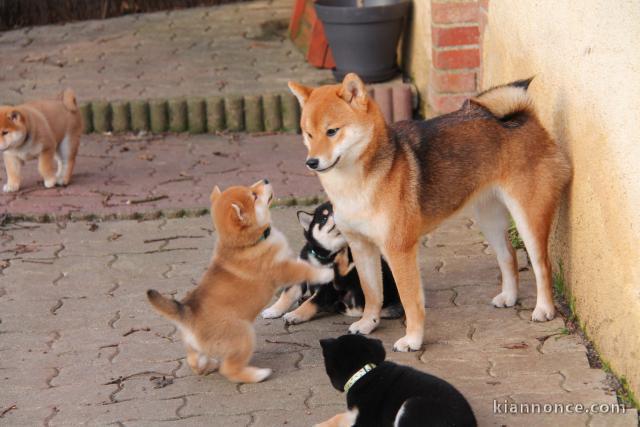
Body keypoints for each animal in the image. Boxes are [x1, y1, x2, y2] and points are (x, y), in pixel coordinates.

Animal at [147, 181, 332, 384]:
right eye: (254, 195)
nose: (266, 180)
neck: (245, 243)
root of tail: (187, 315)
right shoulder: (283, 269)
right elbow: (304, 271)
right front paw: (326, 272)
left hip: (194, 348)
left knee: (195, 362)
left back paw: (209, 365)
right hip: (244, 337)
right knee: (229, 369)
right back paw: (258, 374)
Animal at [288, 75, 572, 352]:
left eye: (332, 131)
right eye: (308, 134)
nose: (311, 162)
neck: (355, 184)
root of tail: (525, 117)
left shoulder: (399, 250)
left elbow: (410, 301)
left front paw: (413, 340)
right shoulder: (361, 246)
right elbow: (372, 293)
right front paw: (368, 323)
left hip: (527, 219)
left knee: (541, 265)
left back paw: (544, 309)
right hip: (489, 219)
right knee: (508, 256)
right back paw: (510, 297)